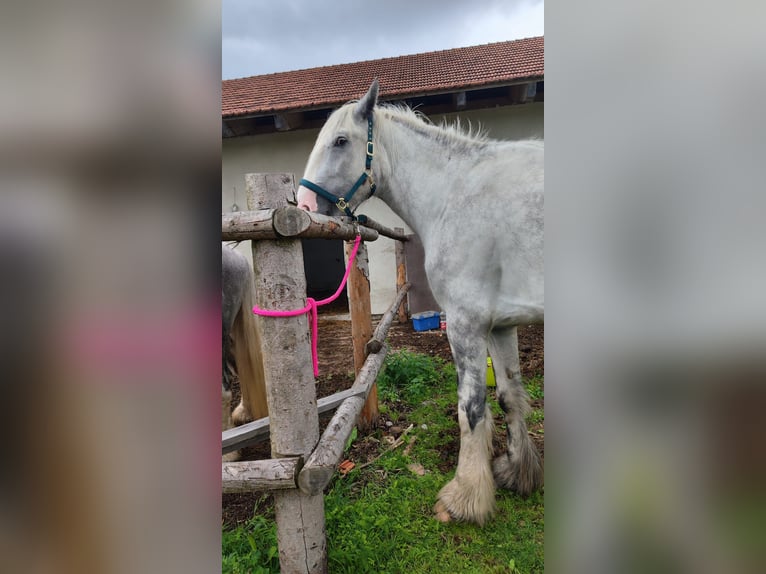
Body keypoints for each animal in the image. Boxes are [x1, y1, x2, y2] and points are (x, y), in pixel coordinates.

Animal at [296, 80, 543, 525]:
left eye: (340, 141)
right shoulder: (500, 325)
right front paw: (518, 473)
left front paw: (465, 497)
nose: (303, 206)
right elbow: (509, 395)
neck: (454, 195)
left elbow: (471, 408)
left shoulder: (465, 323)